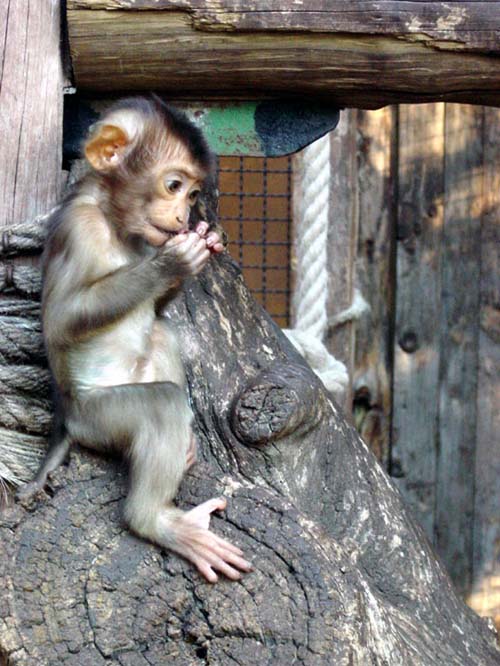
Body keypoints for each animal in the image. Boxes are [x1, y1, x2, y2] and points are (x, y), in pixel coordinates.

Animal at [17, 96, 252, 583]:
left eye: (193, 194)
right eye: (173, 184)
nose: (183, 217)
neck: (114, 220)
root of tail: (68, 418)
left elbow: (158, 311)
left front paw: (199, 246)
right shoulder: (79, 227)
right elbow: (62, 319)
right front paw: (173, 261)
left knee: (161, 334)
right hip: (98, 418)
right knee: (159, 403)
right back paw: (155, 520)